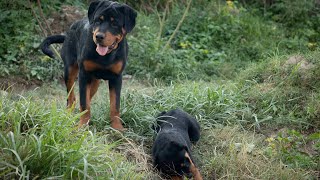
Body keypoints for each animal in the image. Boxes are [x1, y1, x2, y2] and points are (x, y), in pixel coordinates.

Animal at [39, 0, 136, 129]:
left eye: (115, 23)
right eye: (98, 20)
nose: (99, 36)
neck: (105, 56)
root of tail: (68, 32)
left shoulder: (116, 78)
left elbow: (115, 105)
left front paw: (117, 127)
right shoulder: (84, 75)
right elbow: (84, 104)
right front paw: (82, 126)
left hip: (94, 82)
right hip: (70, 71)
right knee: (71, 97)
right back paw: (69, 115)